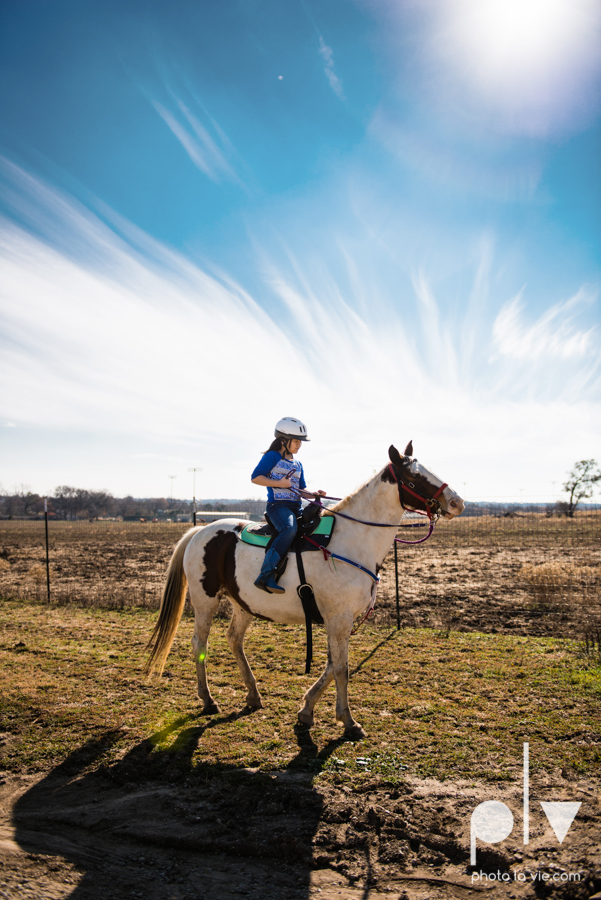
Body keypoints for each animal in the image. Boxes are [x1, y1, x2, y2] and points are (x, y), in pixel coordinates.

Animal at [146, 442, 464, 740]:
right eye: (414, 477)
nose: (457, 502)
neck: (351, 541)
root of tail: (198, 532)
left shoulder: (340, 621)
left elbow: (333, 664)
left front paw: (307, 710)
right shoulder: (338, 618)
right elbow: (341, 668)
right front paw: (348, 722)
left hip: (243, 604)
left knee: (234, 640)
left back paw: (253, 695)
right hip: (205, 600)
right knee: (199, 644)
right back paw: (208, 700)